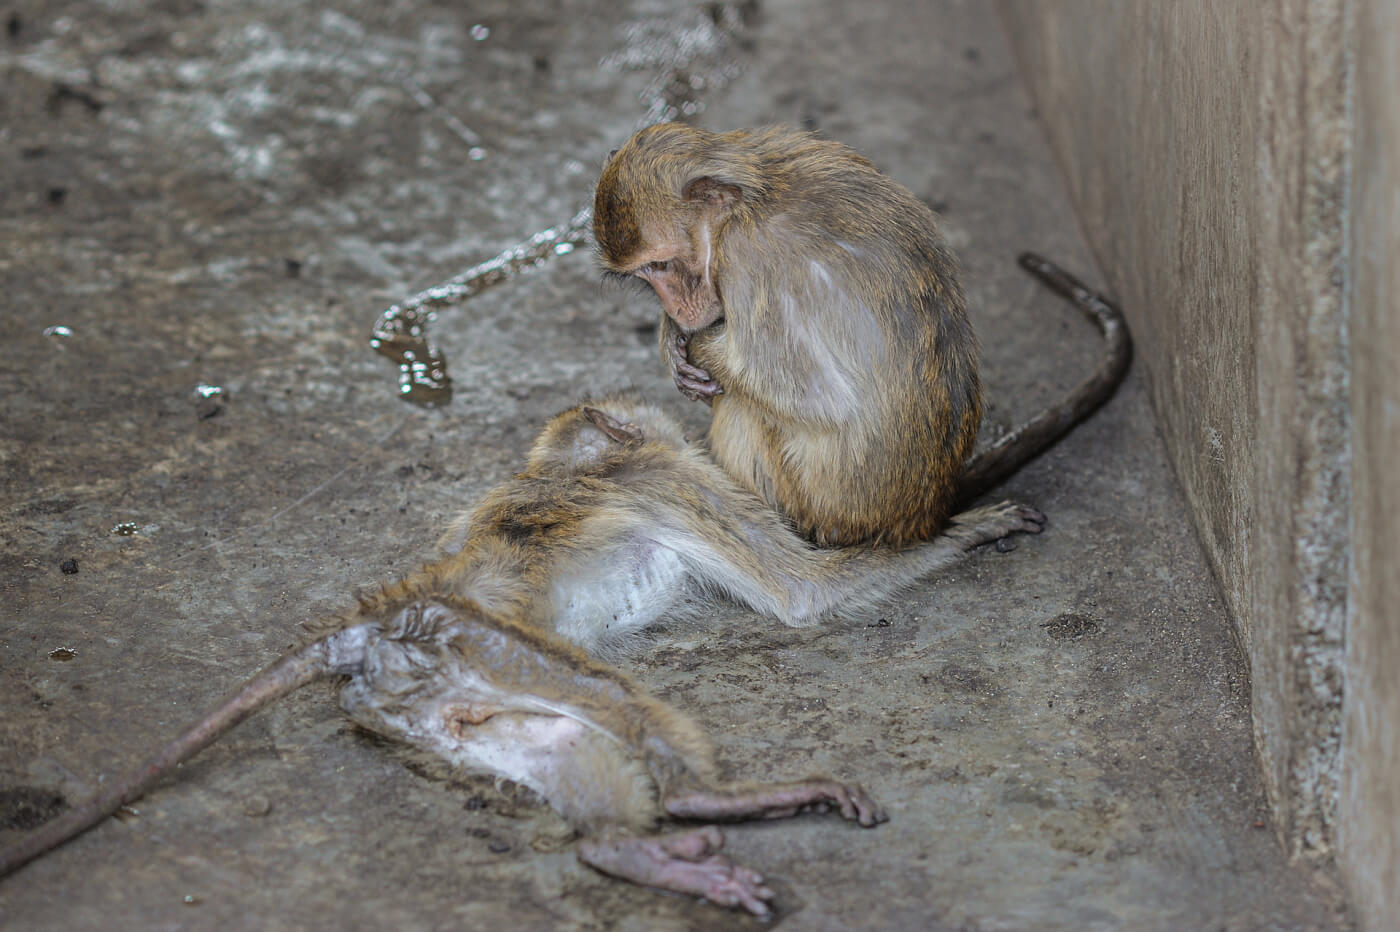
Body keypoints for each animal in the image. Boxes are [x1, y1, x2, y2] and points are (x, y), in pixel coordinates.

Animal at [0, 594, 883, 915]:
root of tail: (365, 639)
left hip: (489, 728)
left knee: (592, 815)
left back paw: (676, 860)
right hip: (544, 673)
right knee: (653, 757)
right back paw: (718, 827)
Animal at [593, 122, 1131, 546]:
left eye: (662, 265)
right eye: (645, 275)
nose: (673, 306)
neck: (752, 200)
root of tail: (922, 514)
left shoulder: (752, 261)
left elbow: (817, 399)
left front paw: (697, 346)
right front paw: (673, 340)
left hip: (822, 503)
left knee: (746, 408)